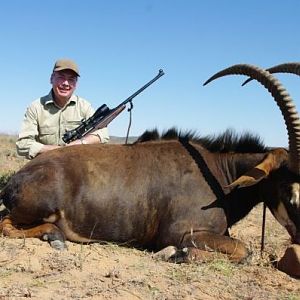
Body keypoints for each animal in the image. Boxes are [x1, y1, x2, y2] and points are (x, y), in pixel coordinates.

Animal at [0, 63, 298, 262]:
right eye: (287, 186)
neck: (219, 176)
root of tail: (15, 179)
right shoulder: (181, 232)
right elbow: (244, 251)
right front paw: (176, 254)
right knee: (5, 223)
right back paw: (55, 237)